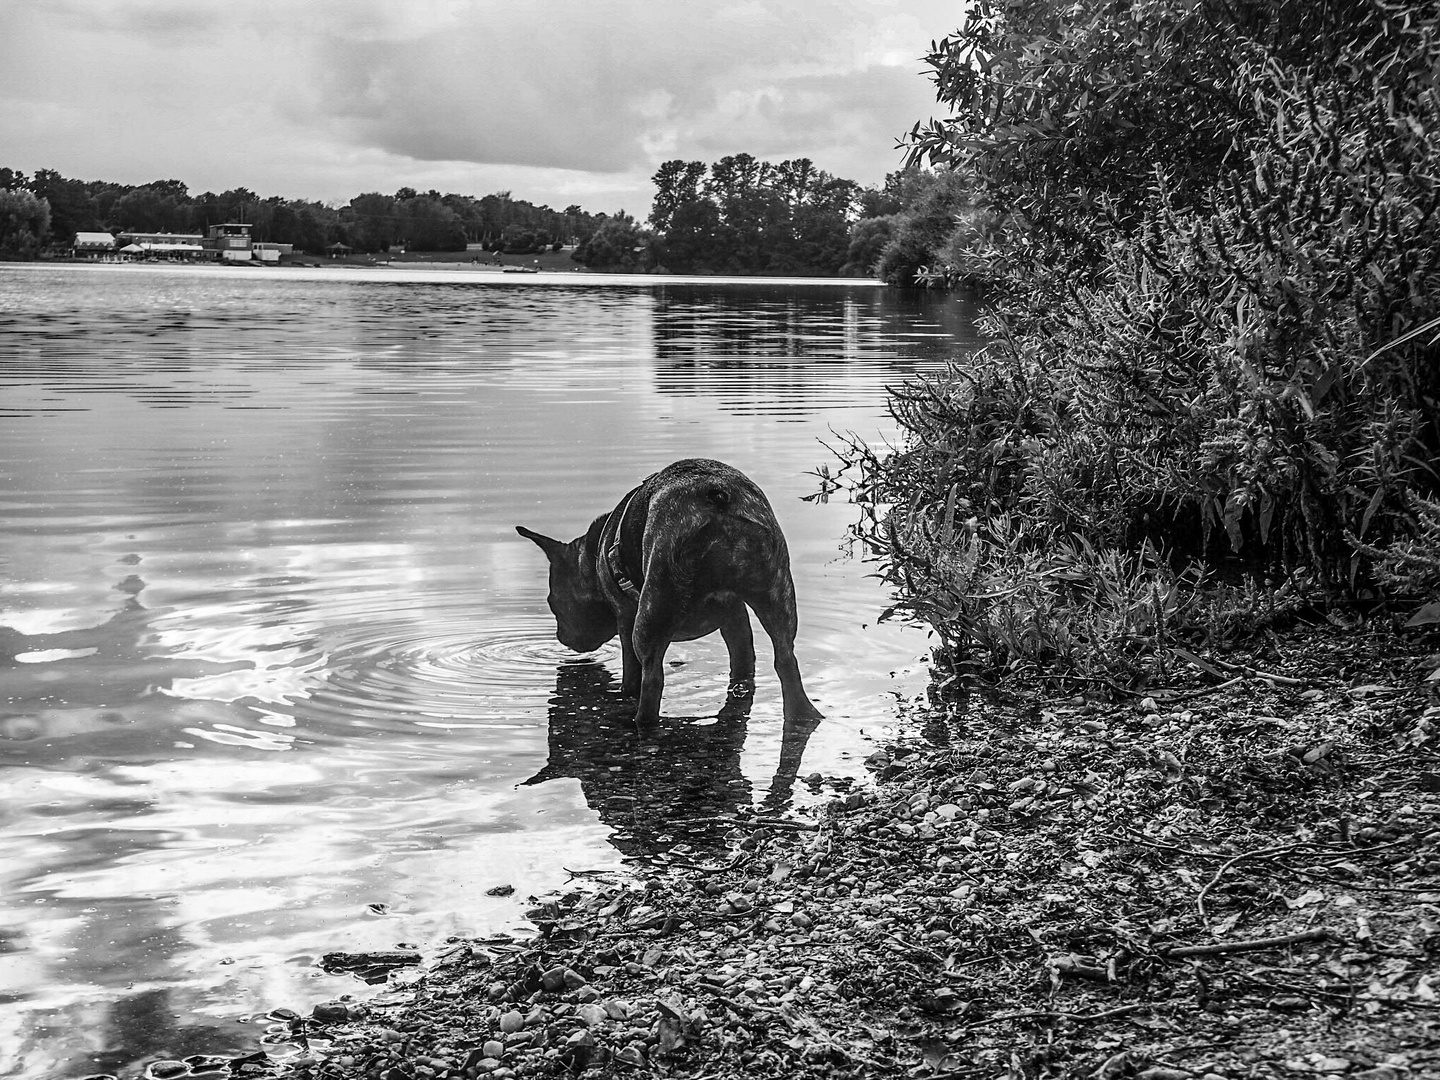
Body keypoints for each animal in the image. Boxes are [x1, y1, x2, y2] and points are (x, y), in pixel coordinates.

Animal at [521, 460, 829, 731]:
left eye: (553, 604)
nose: (561, 637)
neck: (594, 555)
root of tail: (717, 495)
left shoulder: (625, 619)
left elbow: (630, 674)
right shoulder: (735, 614)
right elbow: (743, 657)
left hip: (650, 614)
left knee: (652, 678)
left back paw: (640, 721)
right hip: (777, 595)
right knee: (785, 659)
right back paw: (804, 713)